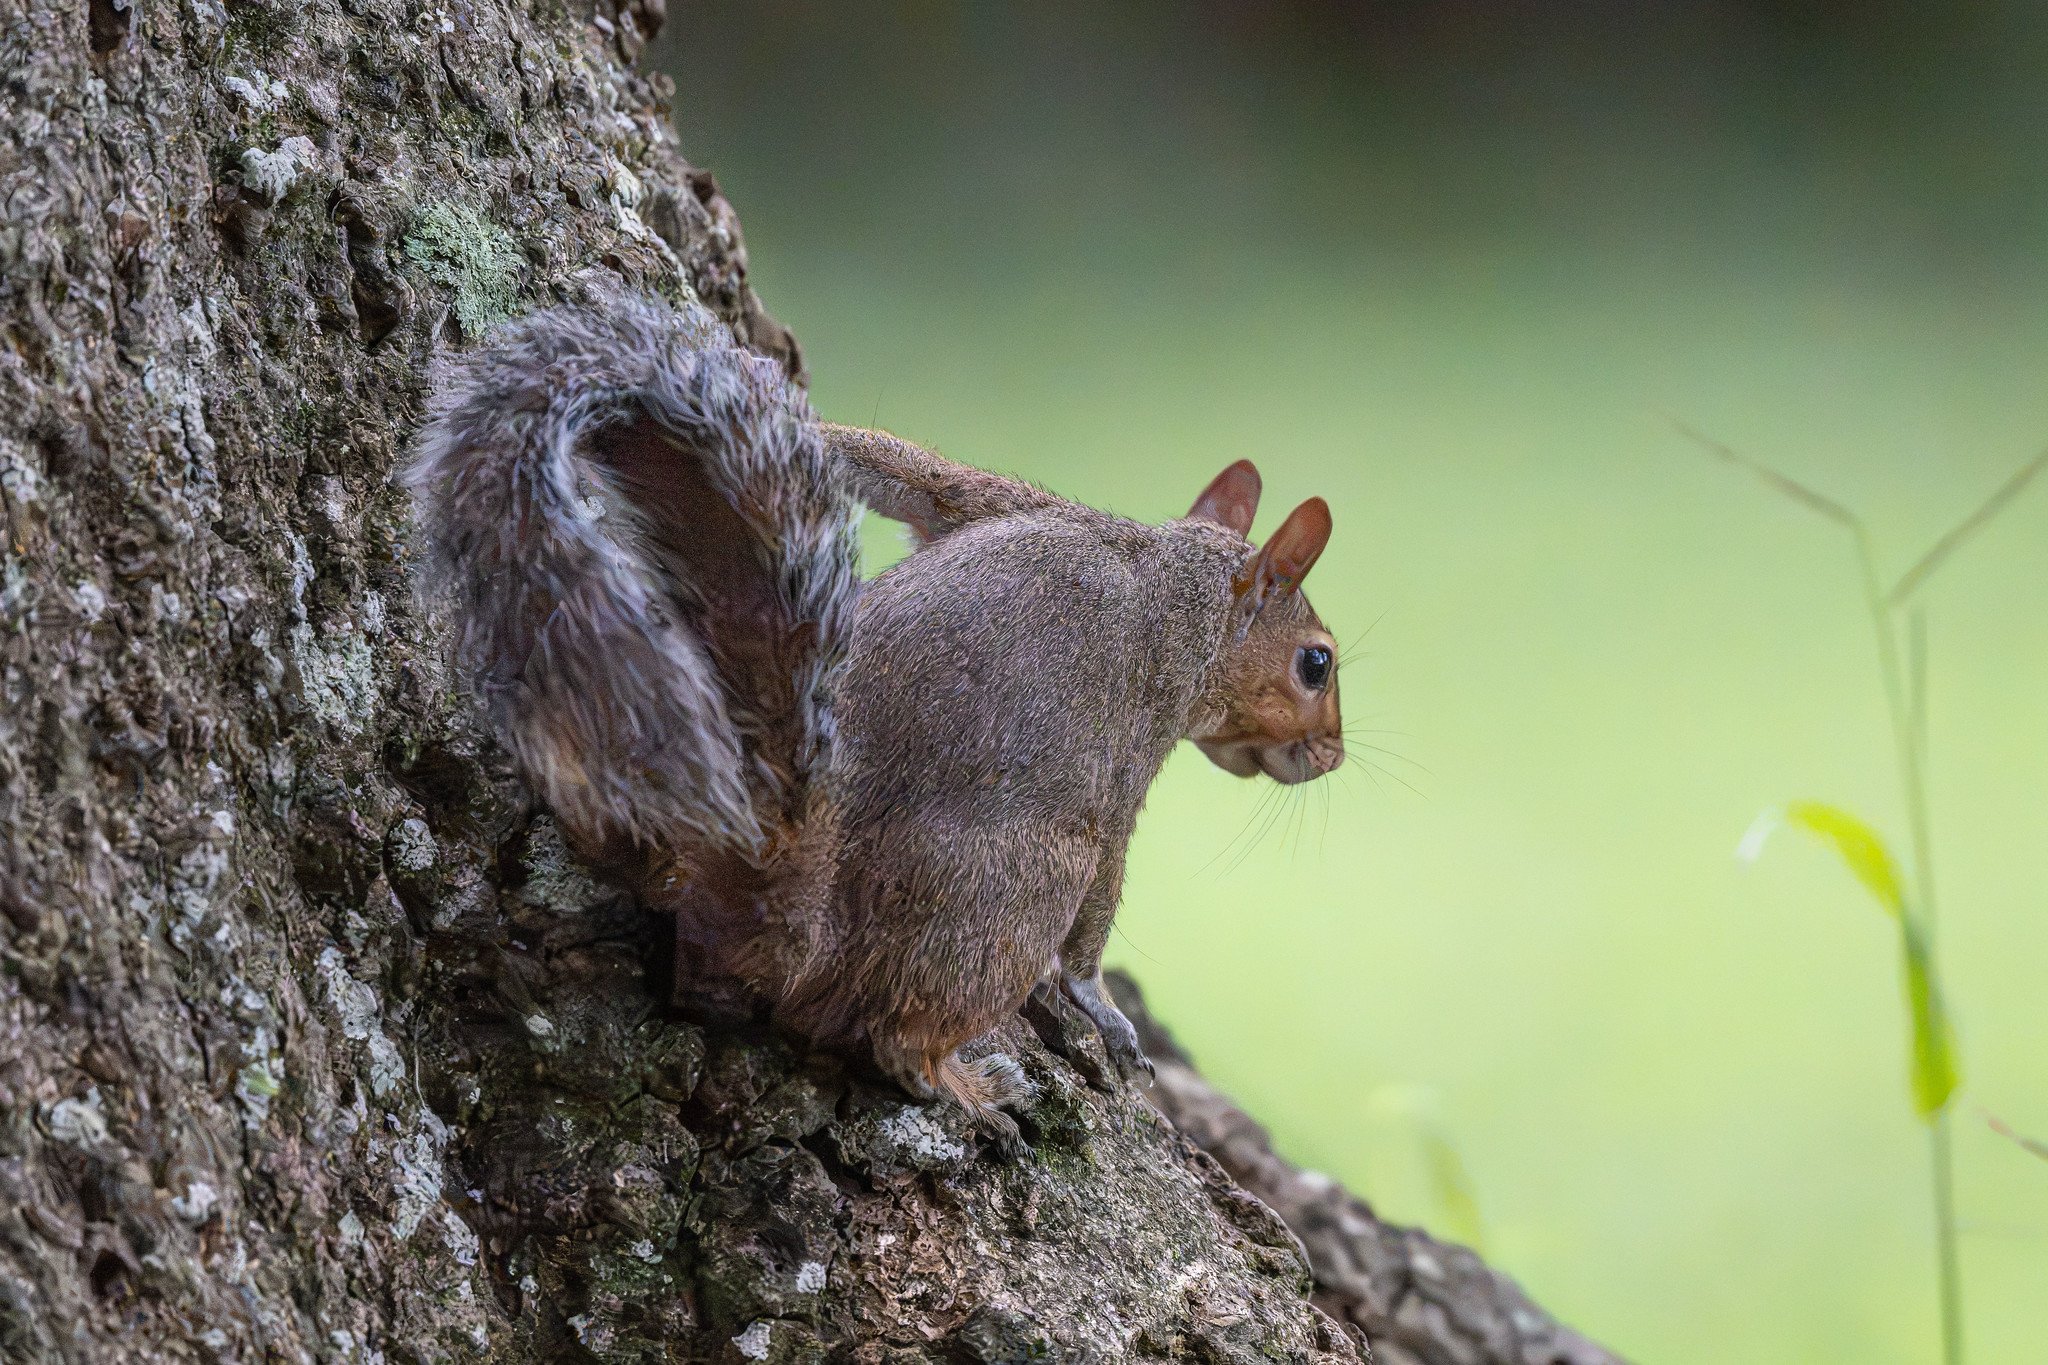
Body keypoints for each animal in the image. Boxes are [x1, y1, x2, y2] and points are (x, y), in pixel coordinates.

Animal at [407, 293, 1344, 1153]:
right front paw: (1105, 1013)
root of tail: (796, 928)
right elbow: (1098, 917)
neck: (1176, 583)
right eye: (1317, 663)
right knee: (896, 1038)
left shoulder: (987, 500)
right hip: (1027, 882)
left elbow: (891, 464)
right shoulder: (1131, 756)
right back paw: (965, 1085)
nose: (1331, 756)